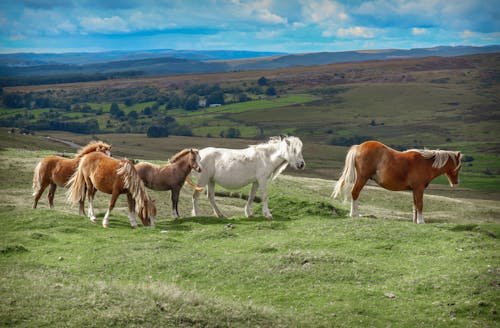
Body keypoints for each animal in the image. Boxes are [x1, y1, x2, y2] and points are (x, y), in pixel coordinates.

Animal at [330, 140, 462, 224]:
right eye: (459, 166)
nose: (456, 182)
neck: (425, 163)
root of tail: (359, 147)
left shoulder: (414, 190)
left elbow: (415, 205)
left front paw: (415, 221)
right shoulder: (419, 188)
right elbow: (420, 204)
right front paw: (421, 221)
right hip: (362, 178)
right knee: (355, 193)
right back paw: (355, 214)